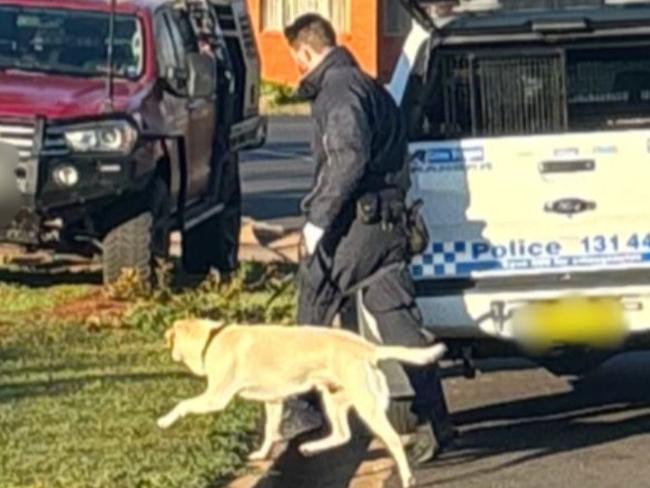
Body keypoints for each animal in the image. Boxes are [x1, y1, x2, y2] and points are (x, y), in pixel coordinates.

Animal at [157, 318, 446, 486]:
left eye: (171, 337)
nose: (164, 342)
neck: (213, 337)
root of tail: (368, 348)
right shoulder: (274, 401)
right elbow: (270, 431)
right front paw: (262, 453)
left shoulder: (215, 398)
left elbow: (182, 405)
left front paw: (164, 421)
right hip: (333, 398)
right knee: (342, 434)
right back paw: (310, 447)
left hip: (366, 405)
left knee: (393, 440)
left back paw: (407, 477)